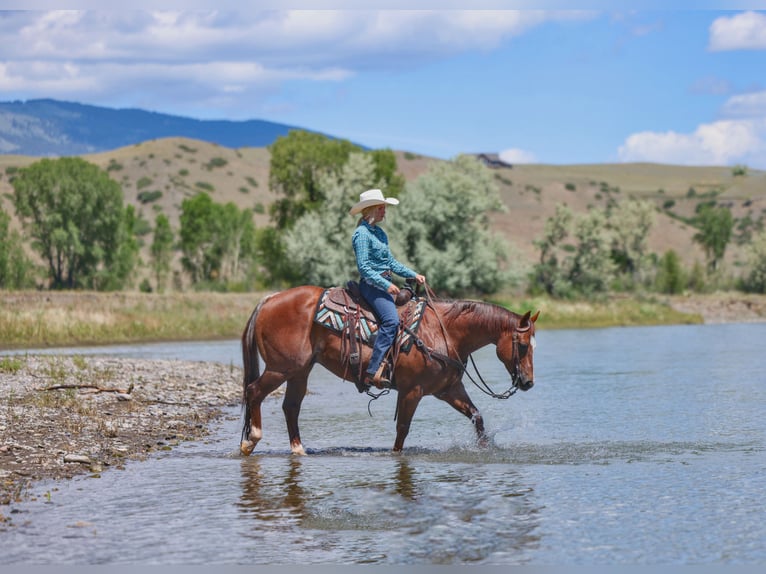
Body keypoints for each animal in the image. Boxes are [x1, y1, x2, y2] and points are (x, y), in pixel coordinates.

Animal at [240, 285, 539, 455]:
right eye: (524, 346)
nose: (527, 382)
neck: (446, 332)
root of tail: (269, 300)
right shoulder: (411, 391)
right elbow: (402, 431)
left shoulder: (448, 389)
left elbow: (477, 417)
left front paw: (485, 450)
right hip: (281, 368)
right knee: (254, 392)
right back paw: (250, 440)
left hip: (300, 371)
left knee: (290, 407)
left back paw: (299, 450)